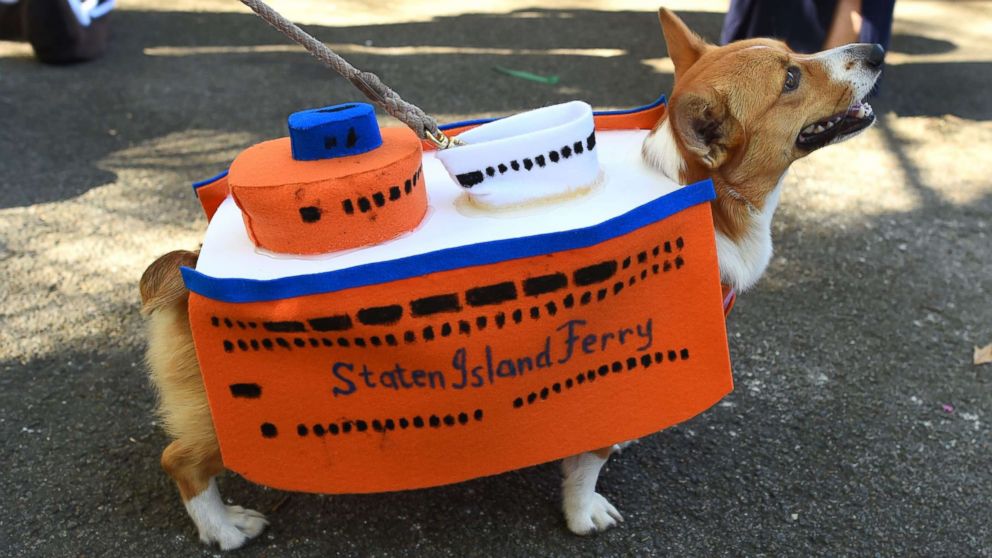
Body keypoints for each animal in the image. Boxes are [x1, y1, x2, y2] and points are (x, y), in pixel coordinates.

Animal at [140, 7, 884, 552]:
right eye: (790, 80)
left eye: (797, 56)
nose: (876, 49)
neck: (709, 198)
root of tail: (189, 264)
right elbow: (587, 464)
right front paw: (585, 514)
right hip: (224, 420)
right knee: (180, 459)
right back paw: (225, 527)